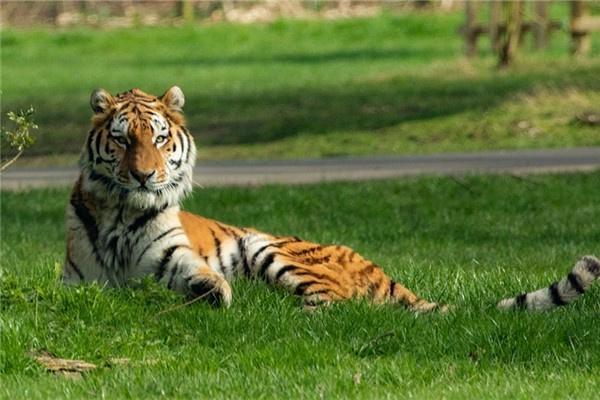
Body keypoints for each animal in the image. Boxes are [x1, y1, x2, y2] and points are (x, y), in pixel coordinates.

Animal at [62, 86, 446, 312]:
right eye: (123, 139)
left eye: (158, 139)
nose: (144, 175)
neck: (122, 215)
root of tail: (363, 259)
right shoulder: (76, 279)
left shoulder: (173, 255)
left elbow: (196, 272)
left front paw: (214, 290)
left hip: (269, 248)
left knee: (338, 300)